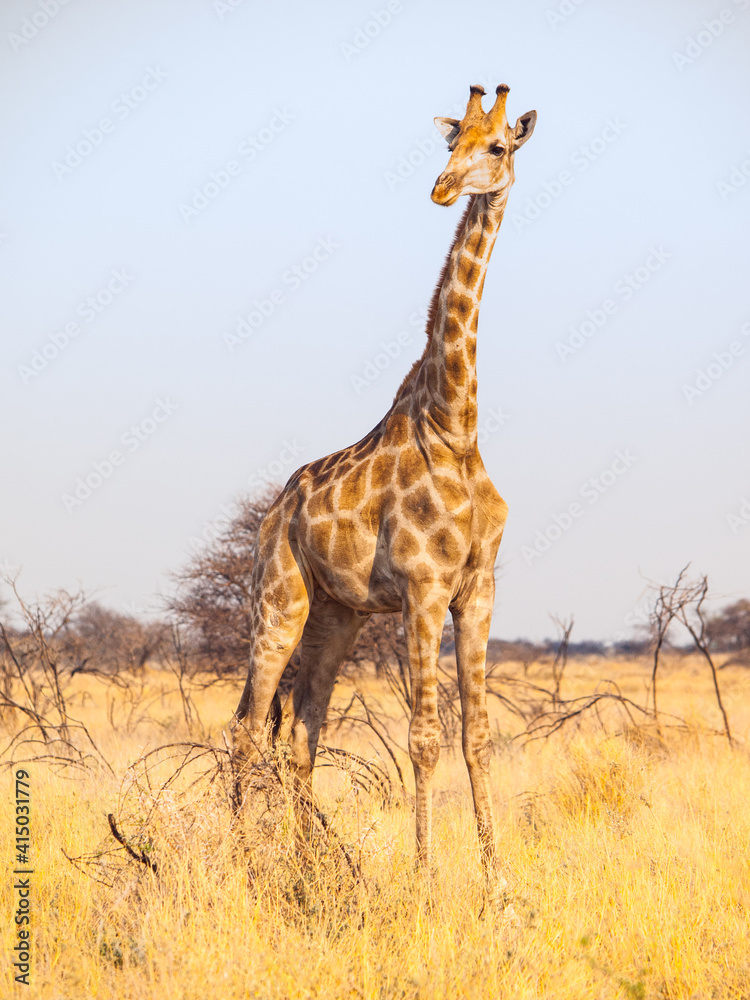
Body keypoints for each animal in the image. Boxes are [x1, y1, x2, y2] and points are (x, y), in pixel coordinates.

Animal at [233, 83, 536, 902]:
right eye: (450, 142)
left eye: (499, 147)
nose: (442, 189)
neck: (455, 423)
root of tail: (272, 516)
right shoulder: (425, 589)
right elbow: (425, 737)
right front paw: (426, 882)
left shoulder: (479, 587)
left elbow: (478, 735)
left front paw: (498, 885)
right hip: (278, 603)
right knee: (246, 727)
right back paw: (234, 865)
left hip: (335, 615)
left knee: (300, 732)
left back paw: (310, 867)